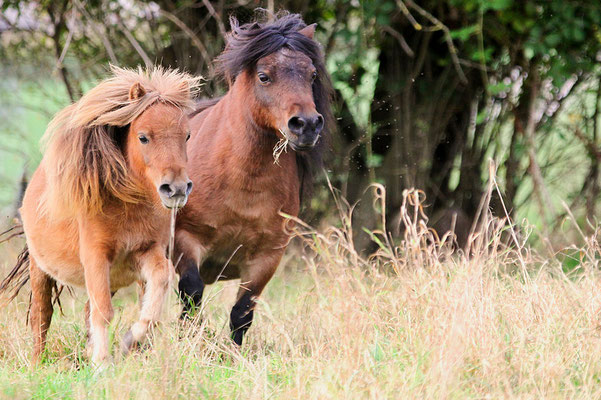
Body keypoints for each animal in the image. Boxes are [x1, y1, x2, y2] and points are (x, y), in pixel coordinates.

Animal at [1, 66, 200, 366]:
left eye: (187, 135)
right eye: (143, 137)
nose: (175, 189)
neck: (126, 206)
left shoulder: (146, 252)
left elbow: (160, 283)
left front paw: (131, 340)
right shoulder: (96, 257)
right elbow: (103, 311)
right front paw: (102, 364)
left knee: (88, 310)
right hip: (40, 269)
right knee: (41, 315)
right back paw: (37, 363)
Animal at [175, 12, 332, 344]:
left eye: (312, 75)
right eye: (264, 76)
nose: (307, 125)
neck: (243, 183)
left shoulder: (267, 257)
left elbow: (242, 312)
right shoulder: (186, 239)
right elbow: (192, 296)